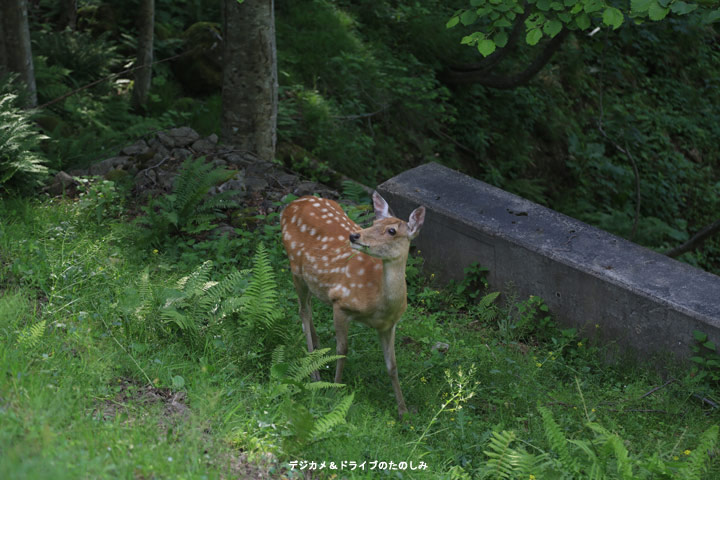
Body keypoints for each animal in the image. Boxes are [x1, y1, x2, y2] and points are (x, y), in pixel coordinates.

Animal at [280, 191, 428, 418]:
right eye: (374, 222)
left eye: (392, 231)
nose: (354, 236)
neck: (379, 304)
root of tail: (291, 204)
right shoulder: (340, 302)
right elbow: (343, 349)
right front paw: (334, 391)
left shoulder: (389, 325)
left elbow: (392, 366)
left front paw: (403, 411)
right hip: (295, 266)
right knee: (303, 312)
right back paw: (314, 372)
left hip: (311, 279)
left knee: (309, 309)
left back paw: (317, 349)